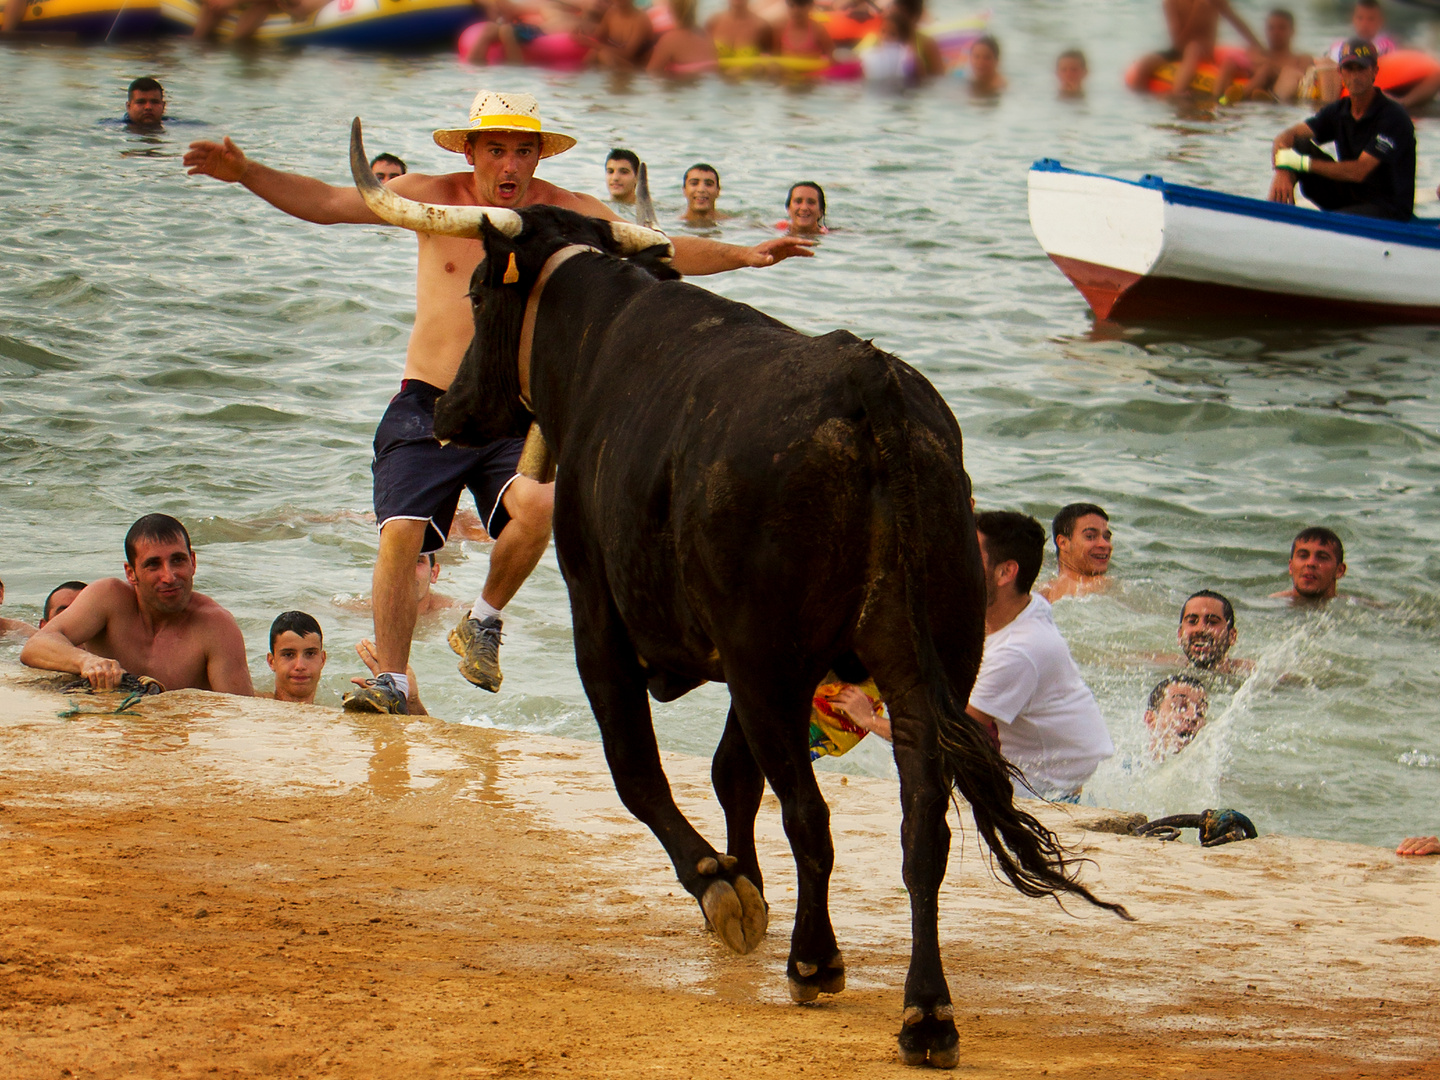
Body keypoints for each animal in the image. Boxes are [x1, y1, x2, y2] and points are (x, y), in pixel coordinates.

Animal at [432, 207, 1128, 1071]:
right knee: (921, 827)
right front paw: (746, 879)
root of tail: (871, 383)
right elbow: (733, 775)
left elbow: (639, 772)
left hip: (773, 663)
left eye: (476, 295)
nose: (445, 409)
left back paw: (815, 959)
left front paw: (720, 884)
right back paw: (926, 1010)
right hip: (920, 663)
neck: (599, 335)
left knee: (810, 815)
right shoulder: (754, 665)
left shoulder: (603, 614)